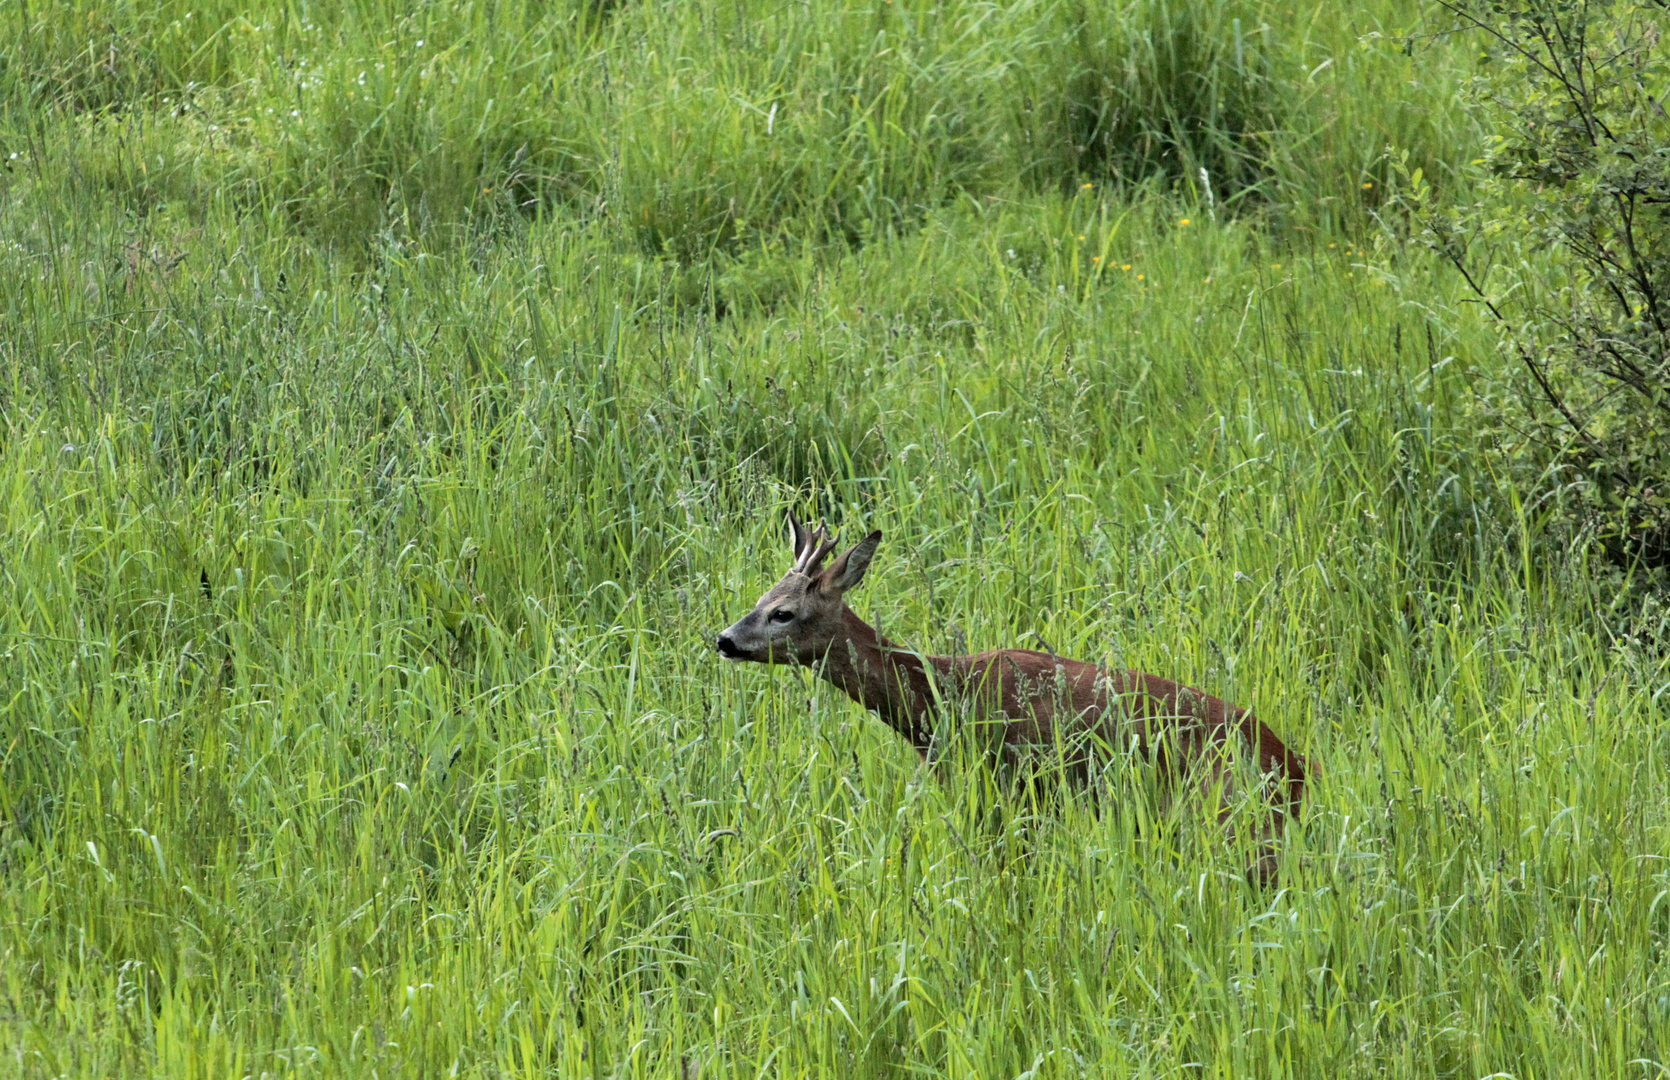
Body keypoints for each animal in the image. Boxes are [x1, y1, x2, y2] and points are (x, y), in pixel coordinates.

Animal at [714, 517, 1302, 888]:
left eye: (784, 612)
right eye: (759, 599)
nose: (723, 639)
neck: (940, 701)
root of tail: (1298, 770)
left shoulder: (1014, 786)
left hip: (1230, 816)